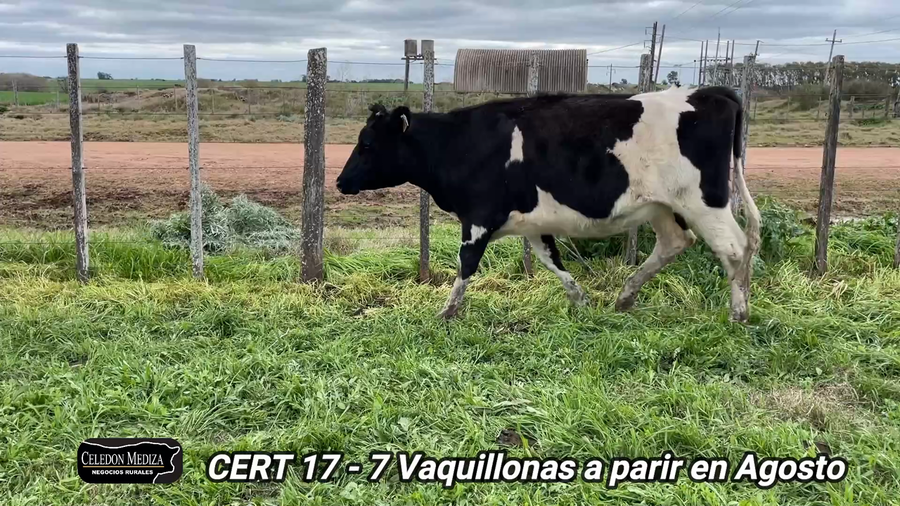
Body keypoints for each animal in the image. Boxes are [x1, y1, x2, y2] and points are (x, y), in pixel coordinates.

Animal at [335, 85, 761, 322]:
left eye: (367, 144)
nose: (340, 181)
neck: (461, 142)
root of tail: (712, 92)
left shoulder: (478, 218)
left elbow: (466, 265)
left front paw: (447, 312)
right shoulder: (533, 224)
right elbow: (552, 261)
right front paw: (581, 300)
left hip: (704, 201)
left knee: (734, 247)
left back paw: (738, 312)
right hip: (662, 206)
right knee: (676, 242)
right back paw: (625, 297)